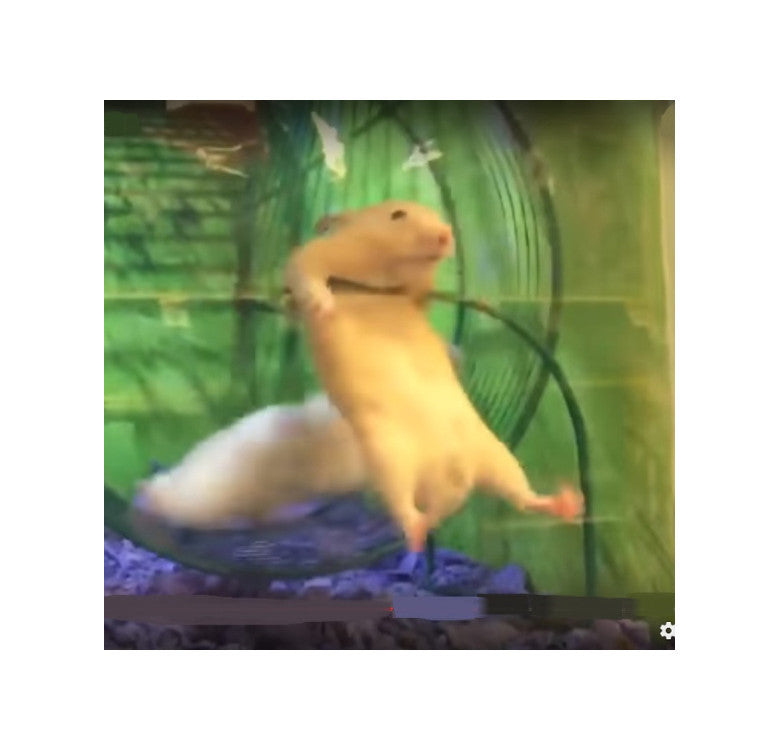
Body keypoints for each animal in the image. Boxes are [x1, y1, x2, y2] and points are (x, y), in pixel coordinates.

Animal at [285, 199, 583, 553]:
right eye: (397, 215)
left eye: (439, 216)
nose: (445, 235)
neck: (387, 275)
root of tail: (456, 474)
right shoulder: (322, 256)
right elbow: (307, 269)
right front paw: (324, 307)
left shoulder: (417, 294)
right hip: (391, 460)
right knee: (406, 508)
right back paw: (417, 533)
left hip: (496, 453)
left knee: (523, 496)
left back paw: (569, 502)